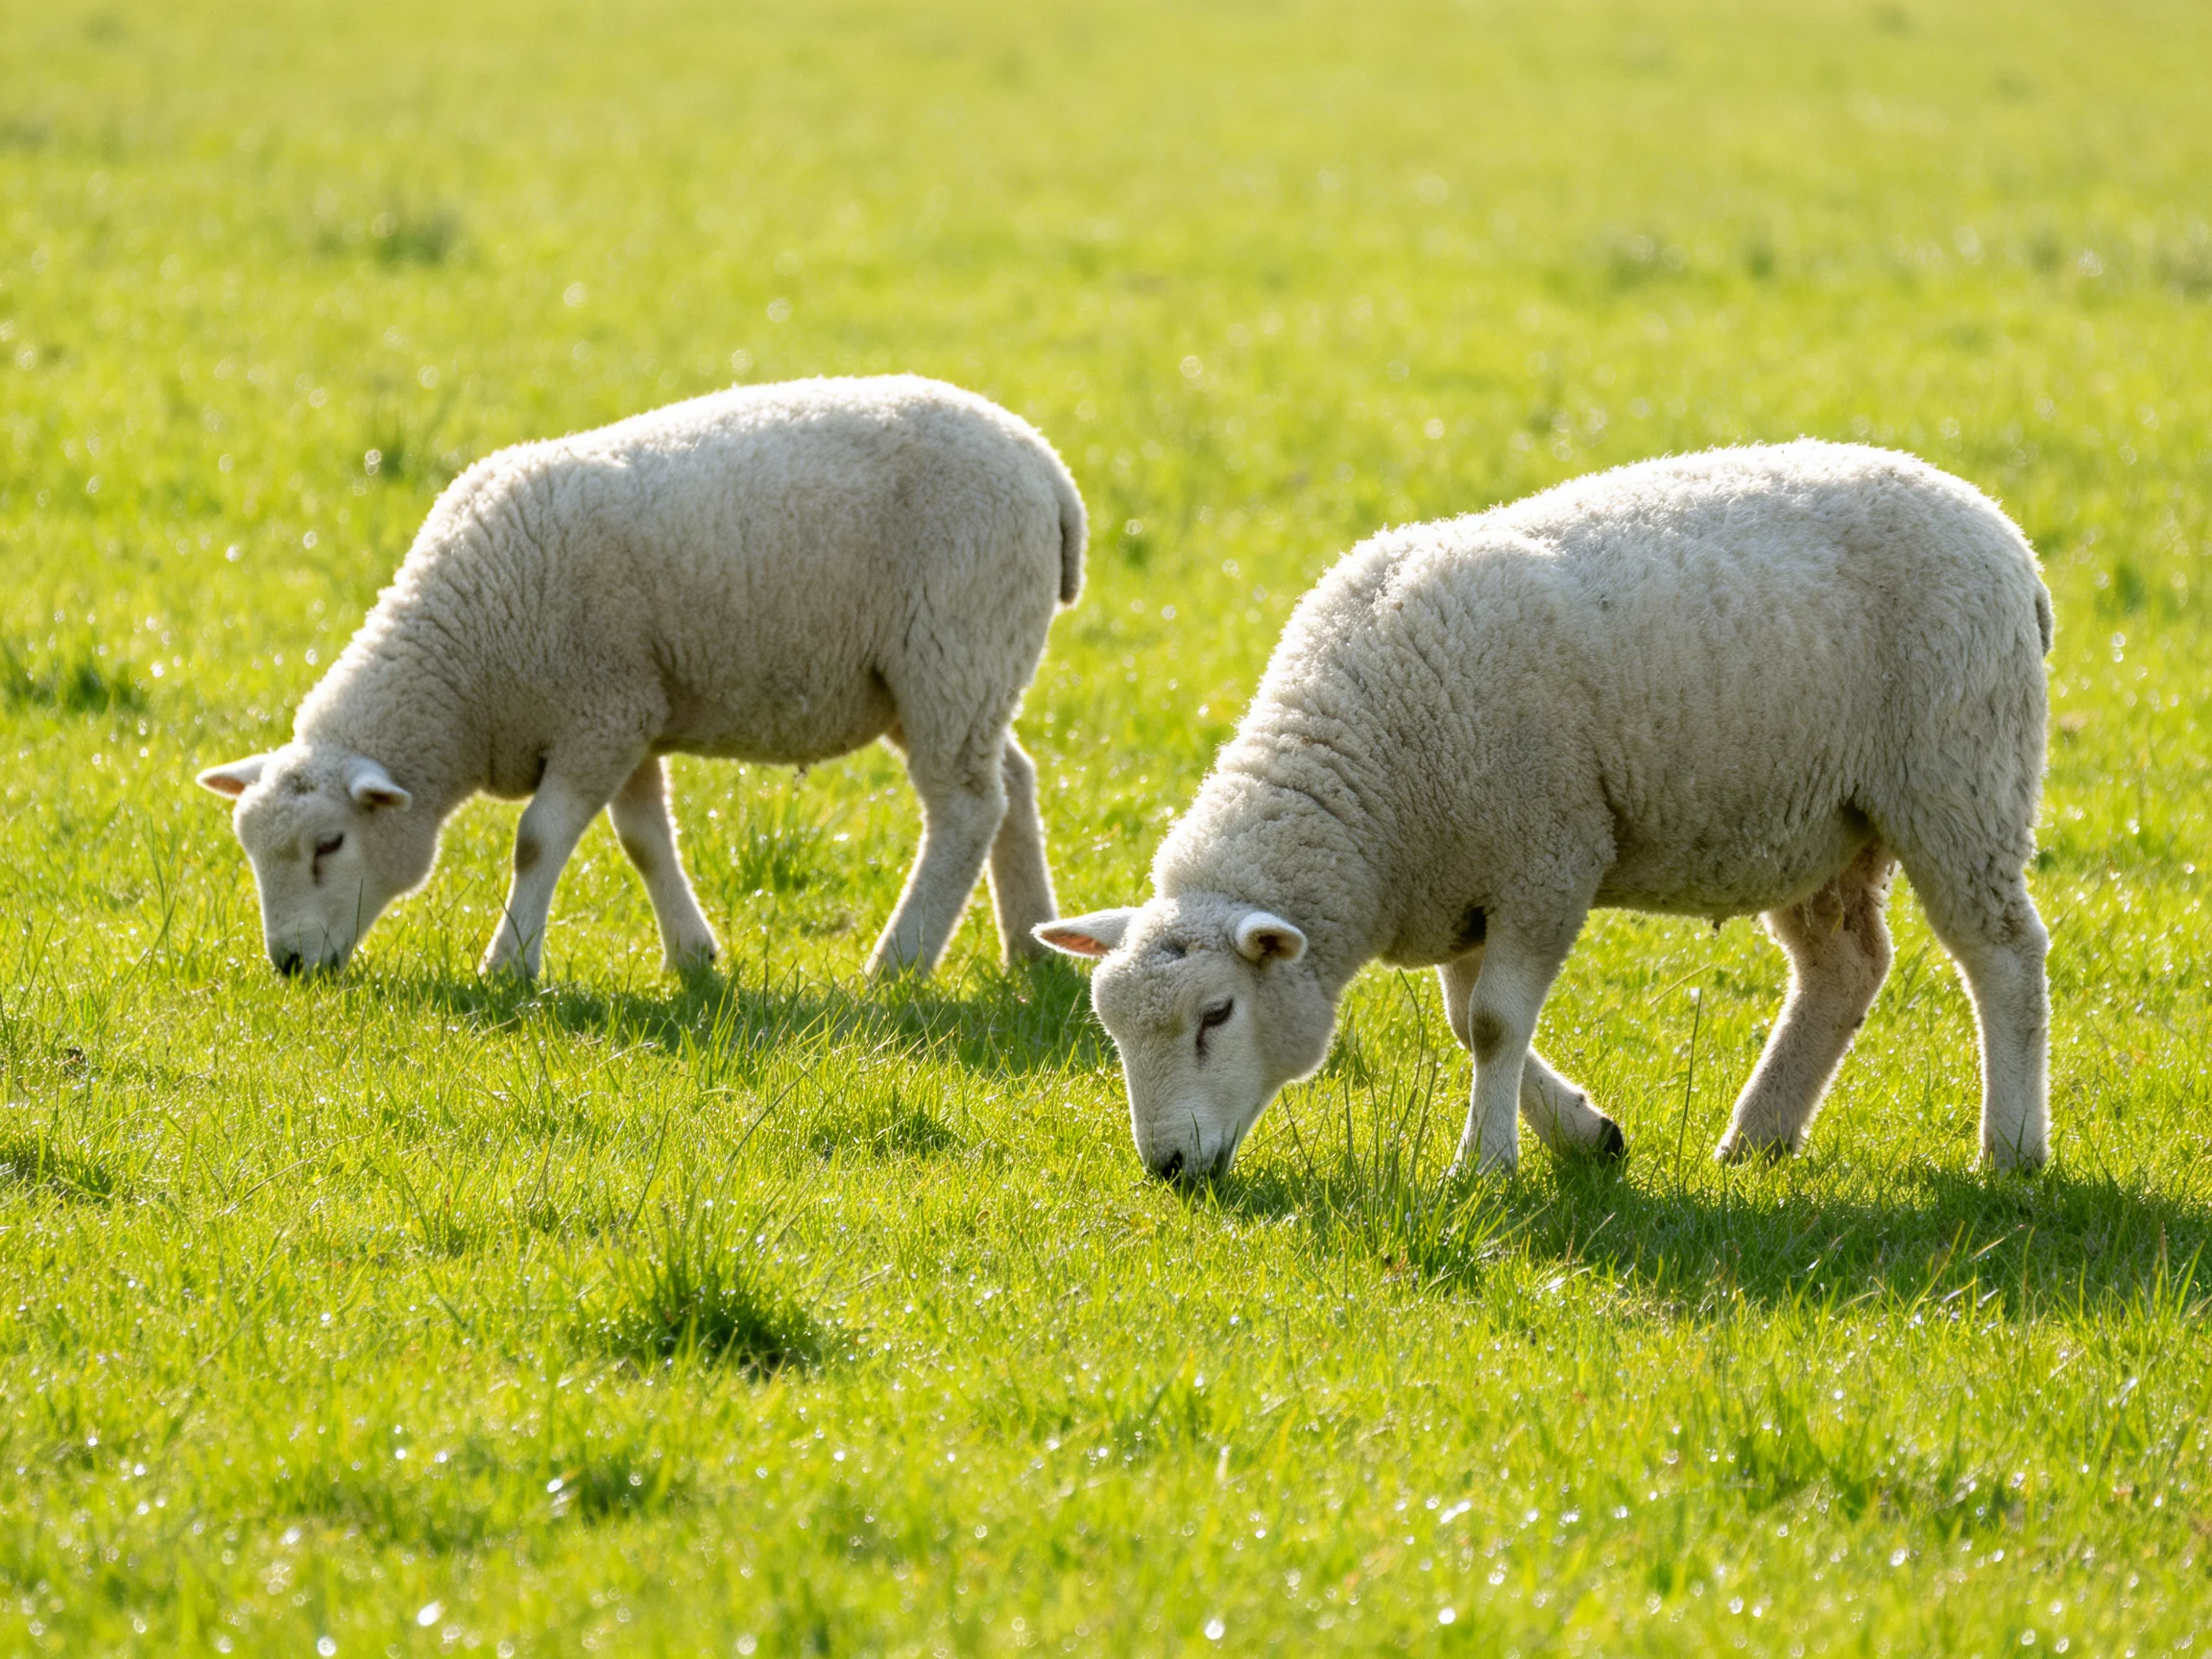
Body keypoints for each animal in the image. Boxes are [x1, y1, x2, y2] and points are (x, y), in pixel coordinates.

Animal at [194, 375, 1086, 981]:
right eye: (251, 850)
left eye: (330, 844)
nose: (289, 966)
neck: (465, 664)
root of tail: (1045, 463)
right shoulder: (630, 712)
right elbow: (644, 840)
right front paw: (692, 955)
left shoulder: (600, 712)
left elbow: (537, 840)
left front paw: (508, 965)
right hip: (951, 675)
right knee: (1011, 781)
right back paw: (1031, 944)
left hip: (956, 648)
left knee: (965, 809)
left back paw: (897, 963)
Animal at [1037, 441, 2053, 1181]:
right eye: (1112, 1030)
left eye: (1215, 1014)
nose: (1168, 1168)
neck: (1368, 778)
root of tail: (2005, 535)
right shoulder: (1460, 889)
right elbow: (1470, 1022)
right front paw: (1586, 1134)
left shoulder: (1546, 858)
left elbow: (1491, 1024)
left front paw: (1483, 1167)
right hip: (1819, 826)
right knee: (1844, 969)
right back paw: (1758, 1137)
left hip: (1960, 778)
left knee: (2004, 956)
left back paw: (2010, 1150)